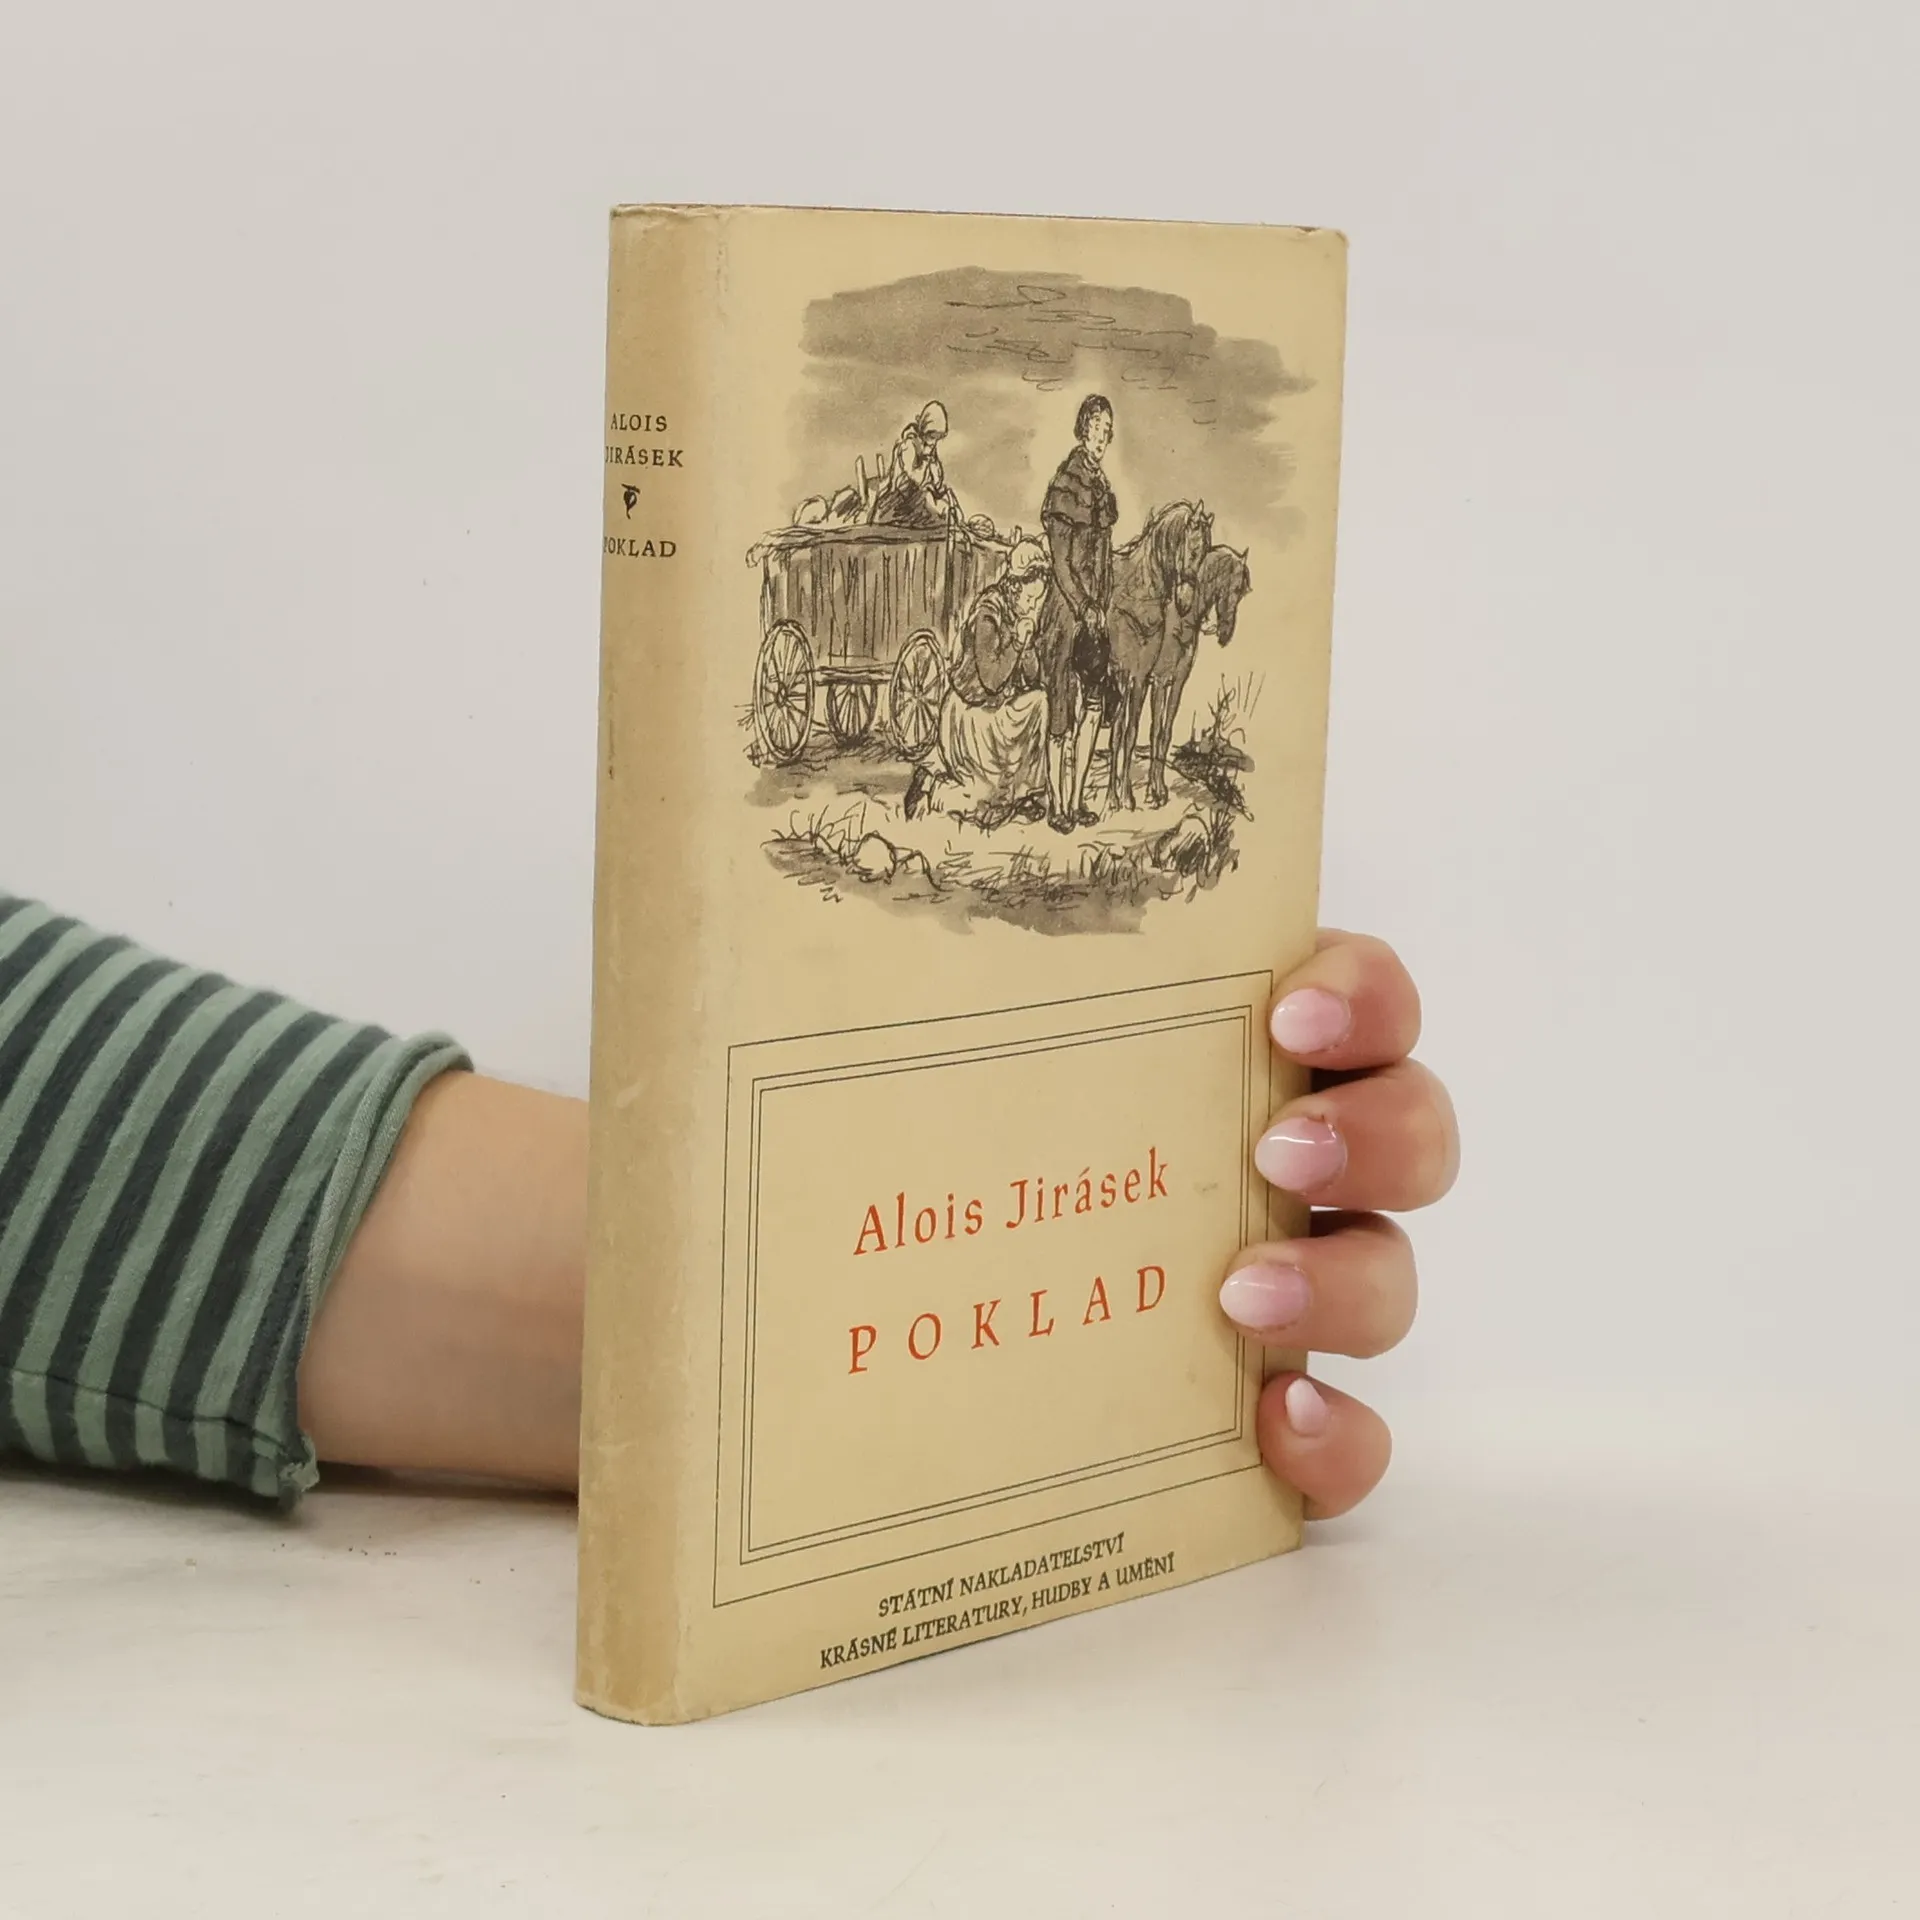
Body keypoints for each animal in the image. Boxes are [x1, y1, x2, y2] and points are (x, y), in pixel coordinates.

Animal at [1104, 501, 1212, 809]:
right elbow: (1130, 733)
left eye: (1206, 554)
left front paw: (1148, 791)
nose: (1185, 602)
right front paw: (1128, 796)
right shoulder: (1139, 676)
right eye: (1192, 550)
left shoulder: (1159, 679)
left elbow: (1153, 731)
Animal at [1141, 543, 1252, 807]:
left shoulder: (1178, 682)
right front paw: (1153, 790)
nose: (1225, 634)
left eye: (1243, 592)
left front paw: (1159, 787)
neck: (1180, 615)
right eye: (1235, 588)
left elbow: (1166, 732)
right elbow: (1155, 730)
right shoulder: (1159, 682)